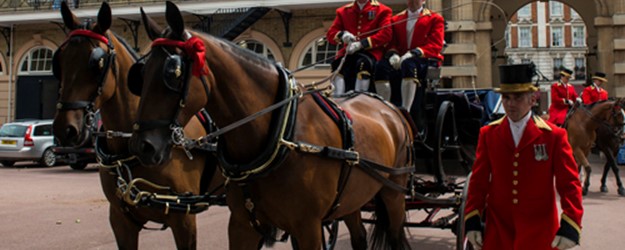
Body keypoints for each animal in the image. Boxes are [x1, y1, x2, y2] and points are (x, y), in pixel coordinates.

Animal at [123, 1, 414, 248]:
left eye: (173, 72)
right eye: (140, 74)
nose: (143, 147)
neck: (281, 132)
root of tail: (390, 108)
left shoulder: (308, 227)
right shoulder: (242, 226)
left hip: (394, 194)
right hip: (352, 199)